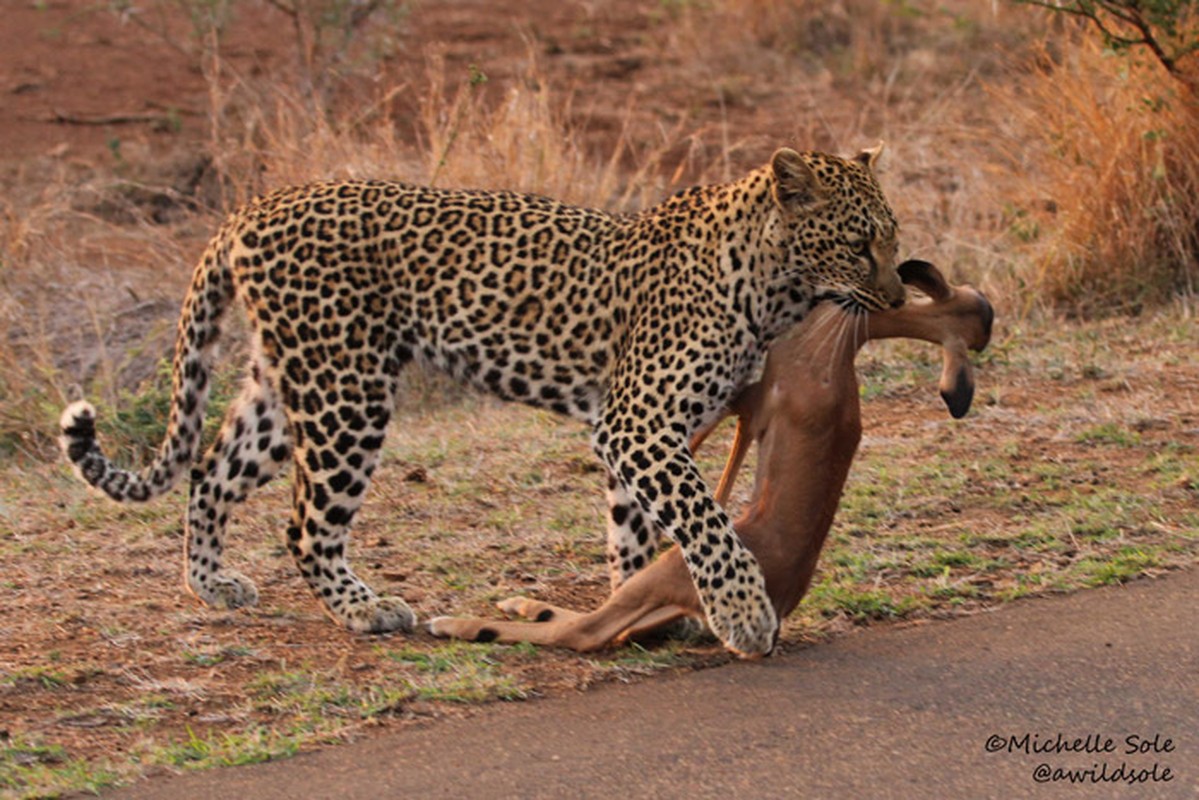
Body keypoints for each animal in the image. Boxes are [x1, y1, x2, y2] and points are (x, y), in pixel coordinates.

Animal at [56, 143, 901, 657]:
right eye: (860, 243)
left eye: (892, 236)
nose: (897, 293)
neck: (770, 286)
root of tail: (253, 208)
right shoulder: (637, 425)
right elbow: (706, 522)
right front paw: (741, 614)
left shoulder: (633, 435)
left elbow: (634, 533)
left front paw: (637, 608)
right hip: (347, 392)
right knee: (304, 523)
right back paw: (364, 609)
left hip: (287, 383)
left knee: (209, 472)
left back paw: (211, 585)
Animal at [431, 262, 992, 652]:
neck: (842, 340)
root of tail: (781, 606)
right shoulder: (745, 405)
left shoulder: (743, 398)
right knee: (611, 627)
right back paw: (519, 604)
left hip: (667, 573)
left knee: (589, 632)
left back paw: (459, 622)